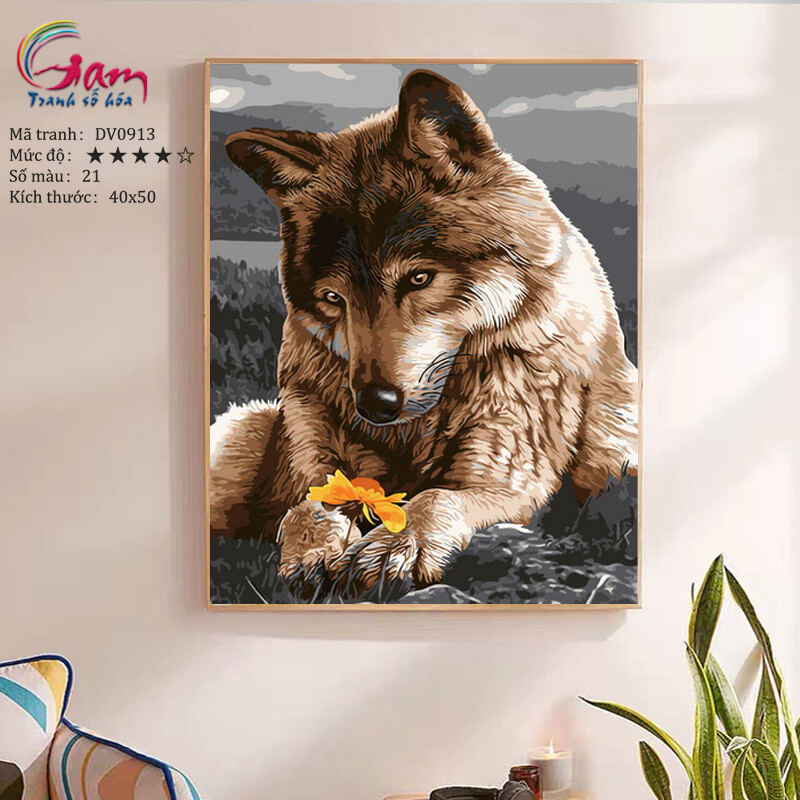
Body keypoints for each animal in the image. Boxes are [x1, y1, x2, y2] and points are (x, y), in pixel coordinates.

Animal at [210, 69, 638, 593]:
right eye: (334, 298)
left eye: (418, 278)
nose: (374, 405)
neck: (416, 431)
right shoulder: (315, 459)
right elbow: (311, 505)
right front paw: (314, 552)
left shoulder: (509, 480)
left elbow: (434, 496)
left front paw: (398, 545)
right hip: (243, 430)